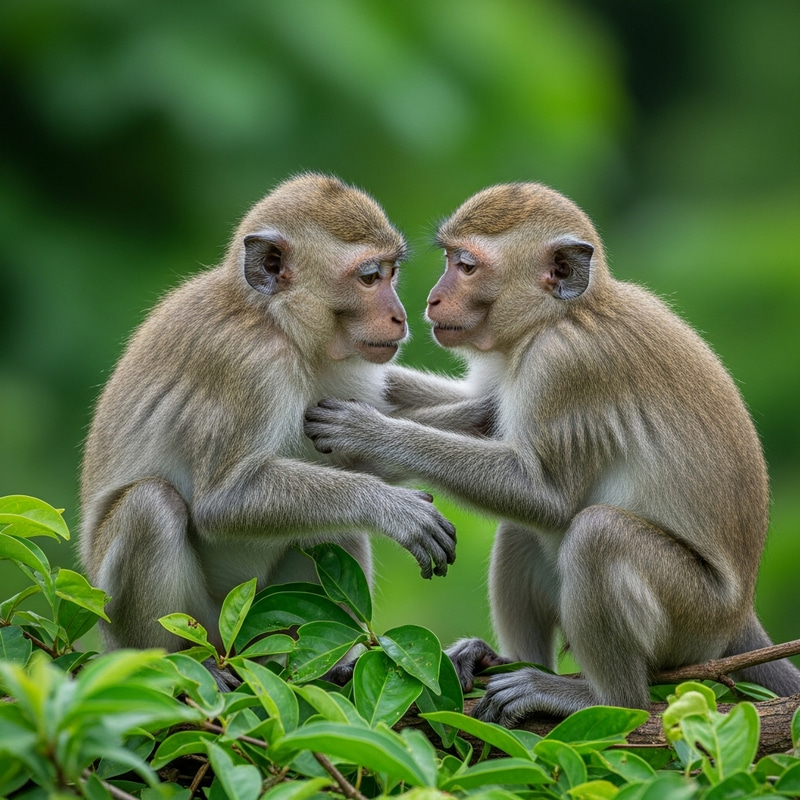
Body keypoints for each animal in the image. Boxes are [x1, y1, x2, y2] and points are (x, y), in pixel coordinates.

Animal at [80, 174, 457, 682]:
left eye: (390, 272)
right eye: (368, 277)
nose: (399, 315)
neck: (275, 320)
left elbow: (356, 452)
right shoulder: (250, 365)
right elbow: (223, 500)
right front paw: (393, 508)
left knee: (332, 530)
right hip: (160, 620)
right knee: (150, 505)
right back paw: (179, 664)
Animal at [304, 181, 800, 724]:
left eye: (467, 266)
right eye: (450, 260)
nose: (434, 298)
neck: (563, 315)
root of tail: (740, 617)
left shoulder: (565, 366)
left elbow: (547, 496)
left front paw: (368, 430)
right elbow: (485, 408)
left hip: (693, 620)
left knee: (596, 534)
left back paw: (598, 697)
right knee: (522, 529)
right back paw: (501, 660)